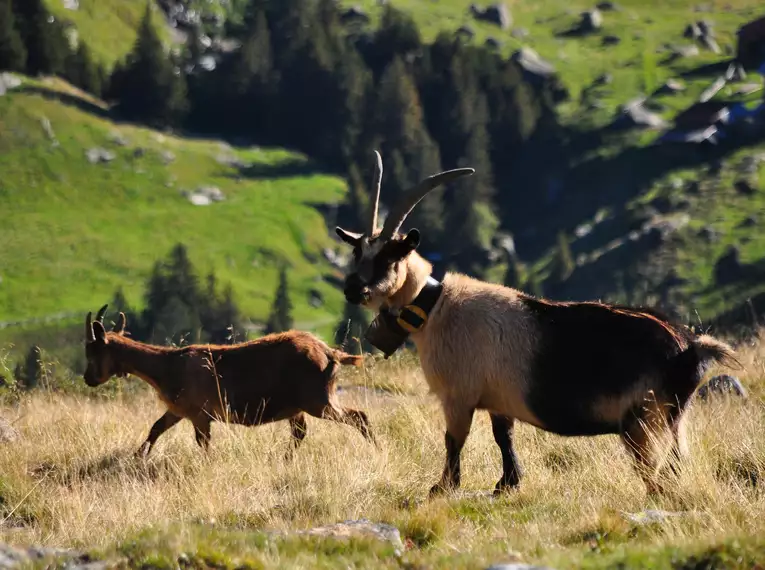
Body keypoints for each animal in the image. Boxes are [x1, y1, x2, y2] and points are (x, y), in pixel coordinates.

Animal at [82, 304, 374, 454]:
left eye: (92, 351)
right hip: (298, 406)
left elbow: (203, 444)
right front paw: (138, 456)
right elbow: (155, 428)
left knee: (359, 416)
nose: (88, 379)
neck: (168, 366)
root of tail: (328, 352)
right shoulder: (178, 410)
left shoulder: (200, 415)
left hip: (317, 400)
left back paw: (376, 449)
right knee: (300, 433)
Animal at [332, 153, 736, 494]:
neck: (436, 307)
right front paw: (507, 483)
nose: (352, 289)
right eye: (357, 252)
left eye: (389, 256)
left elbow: (454, 440)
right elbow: (503, 436)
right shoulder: (497, 398)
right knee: (677, 461)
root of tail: (690, 347)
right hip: (674, 418)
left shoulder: (459, 395)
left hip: (645, 420)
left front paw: (443, 487)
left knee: (657, 471)